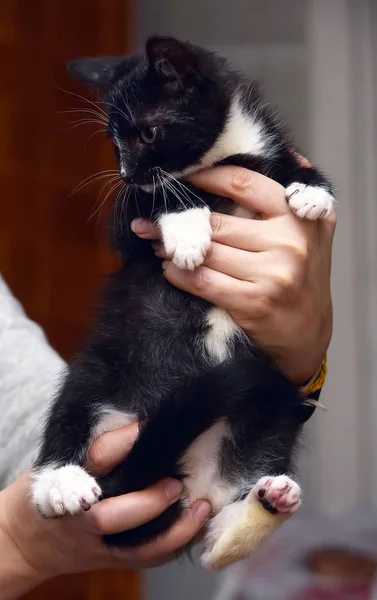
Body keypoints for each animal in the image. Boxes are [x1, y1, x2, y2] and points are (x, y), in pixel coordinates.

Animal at [30, 35, 334, 568]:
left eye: (149, 132)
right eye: (114, 140)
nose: (127, 173)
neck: (224, 156)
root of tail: (197, 486)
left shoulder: (269, 154)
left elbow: (293, 167)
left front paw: (313, 193)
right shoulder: (125, 220)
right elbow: (158, 200)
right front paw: (190, 231)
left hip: (269, 412)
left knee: (215, 545)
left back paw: (268, 502)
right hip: (99, 369)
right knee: (72, 407)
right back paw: (59, 481)